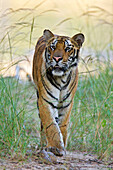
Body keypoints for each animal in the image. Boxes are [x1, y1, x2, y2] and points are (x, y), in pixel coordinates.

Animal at [32, 28, 84, 157]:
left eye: (68, 48)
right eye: (53, 47)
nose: (57, 59)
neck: (62, 79)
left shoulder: (67, 103)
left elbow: (62, 124)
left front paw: (62, 144)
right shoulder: (45, 101)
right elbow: (51, 124)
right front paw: (55, 147)